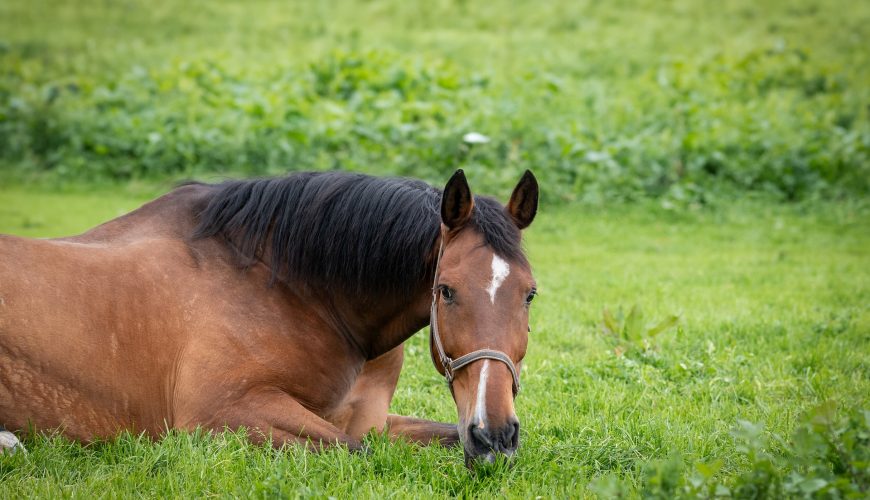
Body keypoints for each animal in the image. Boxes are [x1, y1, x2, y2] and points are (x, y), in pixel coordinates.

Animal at [0, 169, 540, 464]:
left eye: (530, 294)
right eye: (446, 291)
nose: (494, 434)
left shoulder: (369, 420)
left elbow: (430, 435)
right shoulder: (222, 414)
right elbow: (357, 451)